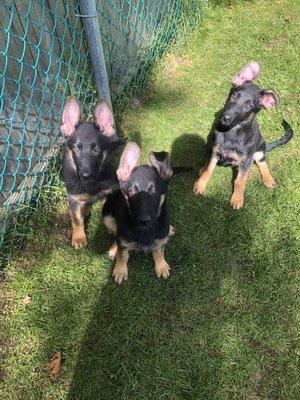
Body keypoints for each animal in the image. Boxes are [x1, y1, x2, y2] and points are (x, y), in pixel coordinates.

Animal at [60, 97, 121, 248]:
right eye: (76, 148)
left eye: (97, 148)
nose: (86, 176)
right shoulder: (73, 198)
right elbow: (76, 219)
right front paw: (78, 237)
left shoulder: (115, 188)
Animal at [102, 142, 175, 282]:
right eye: (131, 192)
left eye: (154, 192)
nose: (143, 221)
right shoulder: (123, 241)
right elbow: (123, 255)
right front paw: (120, 270)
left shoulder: (160, 239)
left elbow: (159, 251)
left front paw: (161, 265)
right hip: (107, 217)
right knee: (116, 235)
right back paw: (114, 249)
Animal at [192, 61, 292, 209]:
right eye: (234, 96)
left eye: (249, 106)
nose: (225, 118)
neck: (231, 132)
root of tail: (265, 145)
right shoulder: (215, 151)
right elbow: (209, 170)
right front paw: (200, 185)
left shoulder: (246, 161)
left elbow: (240, 181)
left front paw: (237, 198)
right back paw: (202, 169)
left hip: (258, 152)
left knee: (262, 162)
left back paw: (268, 179)